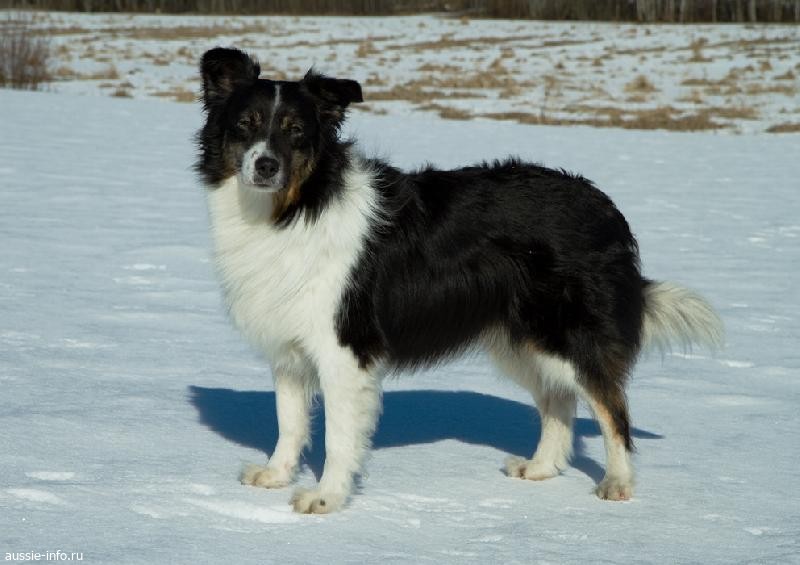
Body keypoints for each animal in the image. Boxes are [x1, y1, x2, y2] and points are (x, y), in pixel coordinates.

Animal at [196, 47, 723, 514]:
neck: (295, 207)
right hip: (521, 339)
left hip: (568, 333)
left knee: (612, 408)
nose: (265, 165)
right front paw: (276, 475)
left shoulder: (344, 347)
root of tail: (605, 205)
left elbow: (339, 437)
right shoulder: (288, 346)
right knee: (559, 399)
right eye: (245, 125)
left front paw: (326, 499)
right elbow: (289, 421)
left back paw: (618, 483)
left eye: (296, 132)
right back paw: (541, 468)